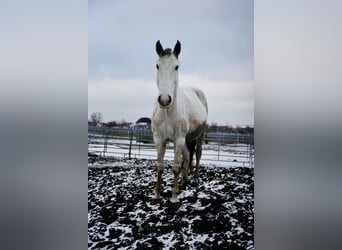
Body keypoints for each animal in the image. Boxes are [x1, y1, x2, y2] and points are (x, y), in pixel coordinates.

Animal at [152, 39, 208, 203]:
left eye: (176, 66)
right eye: (157, 65)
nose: (165, 100)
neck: (167, 112)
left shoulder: (179, 139)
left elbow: (176, 166)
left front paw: (174, 198)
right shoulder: (159, 139)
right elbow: (160, 166)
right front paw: (156, 195)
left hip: (199, 136)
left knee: (197, 154)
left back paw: (194, 180)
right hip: (187, 140)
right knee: (188, 157)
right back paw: (184, 182)